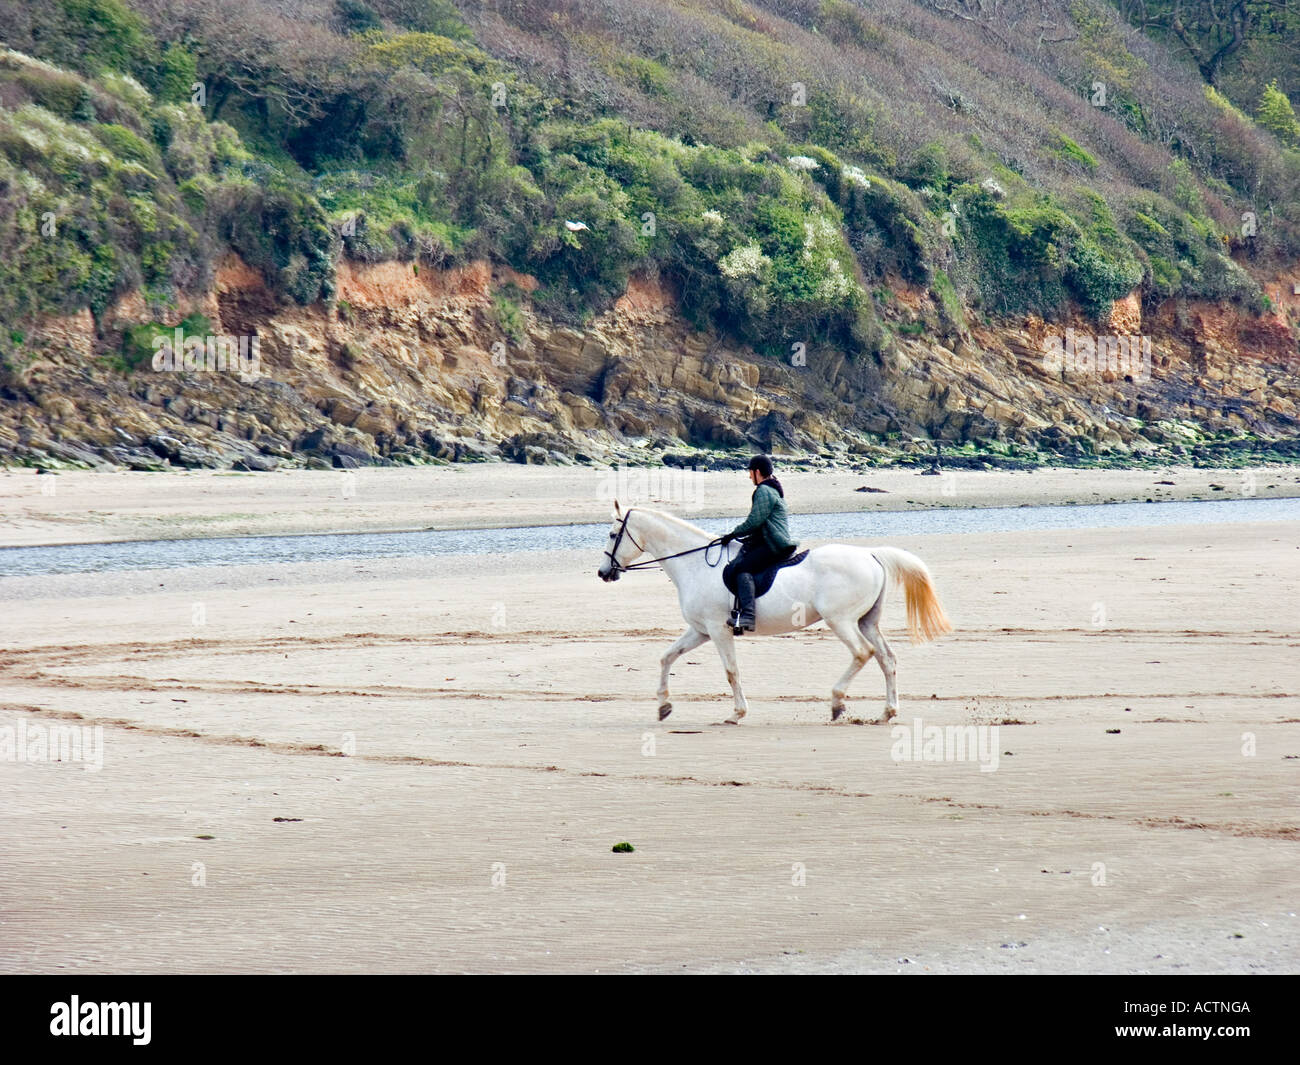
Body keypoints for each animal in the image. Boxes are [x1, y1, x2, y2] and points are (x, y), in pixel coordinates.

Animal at [595, 499, 951, 723]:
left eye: (612, 534)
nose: (603, 573)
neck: (694, 563)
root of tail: (872, 555)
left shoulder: (718, 630)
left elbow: (731, 671)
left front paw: (737, 714)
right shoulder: (700, 630)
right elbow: (667, 657)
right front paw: (664, 706)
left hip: (841, 621)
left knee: (863, 654)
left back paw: (837, 703)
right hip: (866, 622)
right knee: (887, 659)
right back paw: (887, 712)